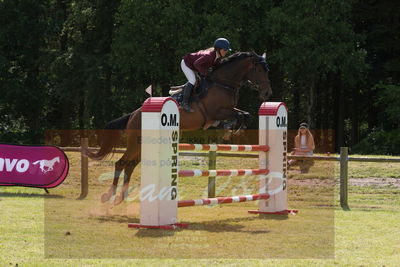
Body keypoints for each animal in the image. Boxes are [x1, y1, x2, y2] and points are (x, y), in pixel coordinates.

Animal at [84, 51, 272, 204]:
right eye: (260, 70)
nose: (267, 93)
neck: (223, 83)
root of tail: (133, 115)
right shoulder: (217, 111)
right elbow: (239, 115)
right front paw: (230, 129)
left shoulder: (227, 111)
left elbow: (245, 114)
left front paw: (231, 128)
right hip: (135, 143)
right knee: (121, 163)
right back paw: (109, 196)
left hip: (142, 146)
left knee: (130, 165)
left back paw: (121, 198)